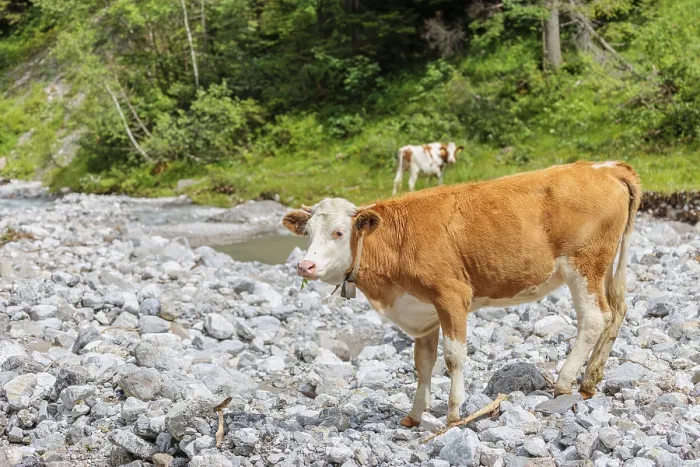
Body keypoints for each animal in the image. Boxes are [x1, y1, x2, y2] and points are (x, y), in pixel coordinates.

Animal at [282, 161, 641, 428]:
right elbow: (423, 363)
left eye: (339, 233)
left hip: (583, 264)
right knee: (618, 310)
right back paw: (590, 380)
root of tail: (605, 167)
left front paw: (454, 413)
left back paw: (565, 382)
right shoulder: (422, 312)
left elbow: (453, 357)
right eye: (308, 232)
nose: (305, 265)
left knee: (594, 318)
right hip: (604, 266)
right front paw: (415, 415)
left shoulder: (452, 295)